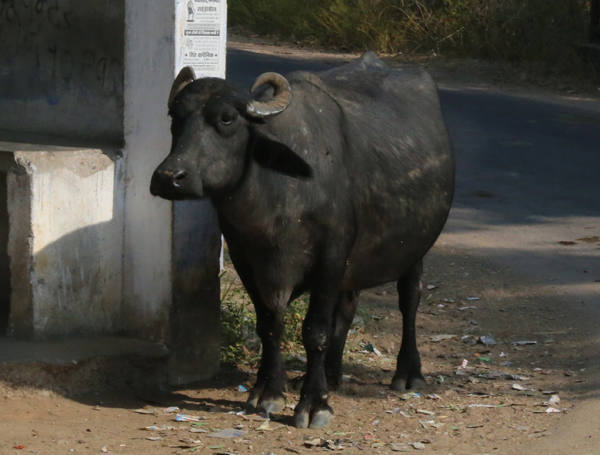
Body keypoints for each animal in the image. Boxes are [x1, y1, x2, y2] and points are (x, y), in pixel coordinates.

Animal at [151, 51, 454, 430]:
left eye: (226, 118)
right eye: (175, 116)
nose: (169, 177)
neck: (278, 198)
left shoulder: (332, 257)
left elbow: (315, 331)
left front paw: (314, 404)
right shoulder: (245, 257)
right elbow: (269, 325)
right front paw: (268, 391)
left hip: (415, 248)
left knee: (409, 299)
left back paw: (408, 373)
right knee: (348, 305)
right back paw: (333, 374)